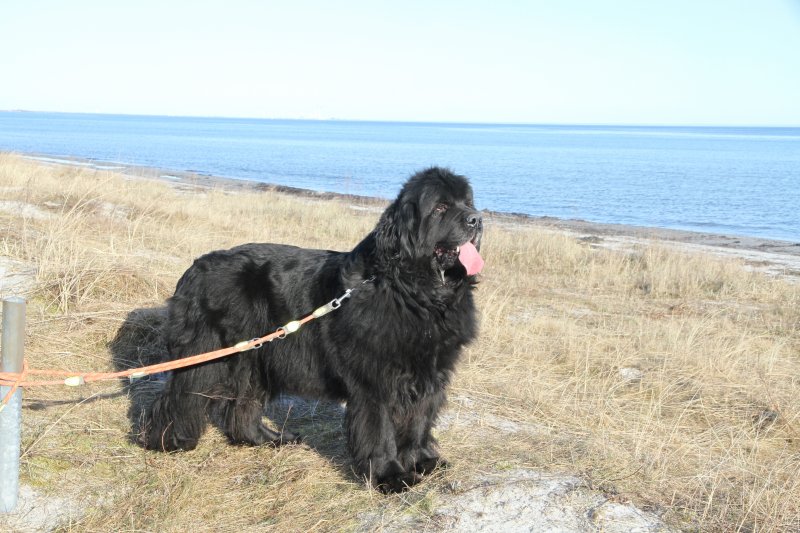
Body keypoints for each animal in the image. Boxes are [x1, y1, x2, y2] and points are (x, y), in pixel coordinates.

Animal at [140, 167, 484, 493]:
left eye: (468, 202)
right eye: (440, 207)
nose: (477, 219)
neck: (413, 292)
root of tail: (193, 269)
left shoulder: (432, 373)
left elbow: (420, 422)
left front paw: (424, 461)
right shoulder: (376, 379)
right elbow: (382, 428)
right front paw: (391, 476)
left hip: (257, 355)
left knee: (243, 404)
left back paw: (268, 438)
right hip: (210, 354)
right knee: (181, 395)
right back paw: (169, 440)